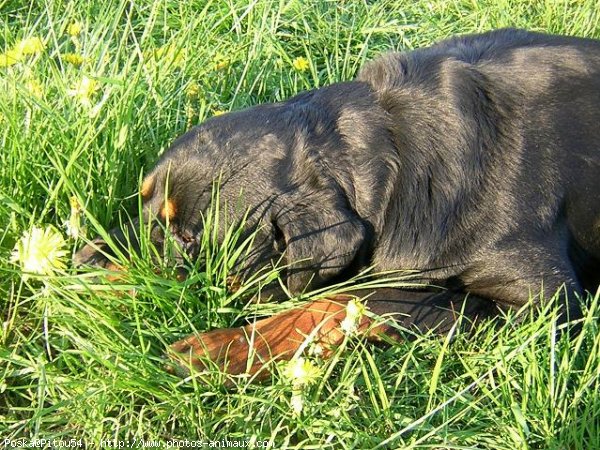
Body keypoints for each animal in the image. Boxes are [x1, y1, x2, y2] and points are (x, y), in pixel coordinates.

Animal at [75, 29, 600, 376]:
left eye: (187, 239)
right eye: (140, 200)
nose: (79, 265)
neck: (396, 156)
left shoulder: (544, 303)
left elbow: (350, 298)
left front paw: (226, 349)